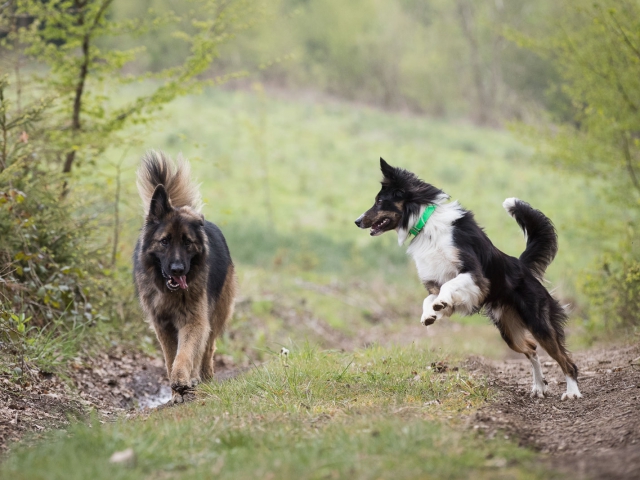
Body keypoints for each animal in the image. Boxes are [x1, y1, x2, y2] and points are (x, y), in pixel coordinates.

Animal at [358, 159, 584, 400]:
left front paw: (440, 304)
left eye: (379, 201)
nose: (357, 221)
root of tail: (522, 265)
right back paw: (539, 386)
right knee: (531, 348)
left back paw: (572, 392)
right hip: (508, 330)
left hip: (538, 322)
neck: (426, 224)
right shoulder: (435, 282)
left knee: (565, 360)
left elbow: (450, 285)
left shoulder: (475, 276)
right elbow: (428, 299)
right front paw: (430, 314)